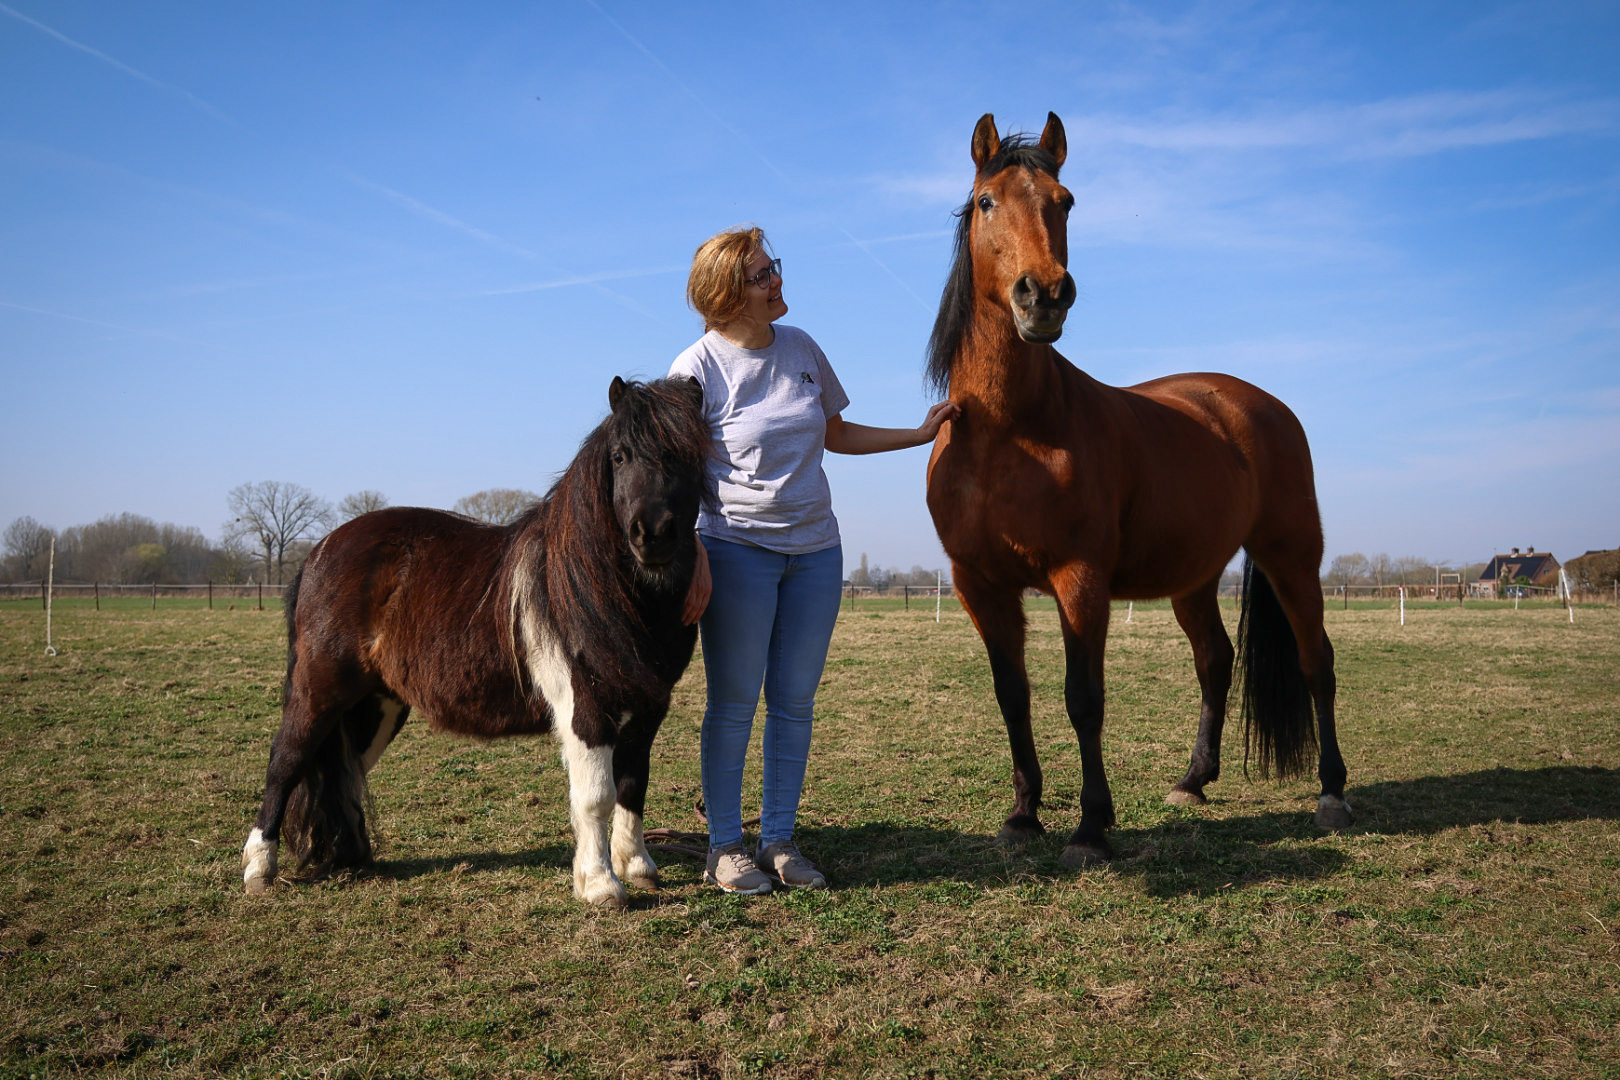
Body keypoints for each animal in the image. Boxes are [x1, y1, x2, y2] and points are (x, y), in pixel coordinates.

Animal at [241, 375, 711, 908]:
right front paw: (600, 883)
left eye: (687, 453)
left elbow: (634, 784)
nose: (653, 535)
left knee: (346, 771)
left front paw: (637, 866)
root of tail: (320, 551)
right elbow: (596, 796)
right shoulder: (588, 707)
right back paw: (259, 869)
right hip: (320, 691)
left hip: (377, 705)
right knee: (286, 762)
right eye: (619, 456)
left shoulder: (649, 705)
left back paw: (353, 856)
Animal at [925, 112, 1352, 868]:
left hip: (1292, 558)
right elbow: (1013, 696)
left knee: (1316, 663)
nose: (1044, 295)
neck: (1007, 431)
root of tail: (1256, 404)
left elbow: (1083, 698)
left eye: (1065, 201)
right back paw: (1193, 780)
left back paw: (1332, 792)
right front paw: (1023, 816)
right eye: (986, 202)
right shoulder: (979, 583)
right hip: (1194, 578)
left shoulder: (1080, 578)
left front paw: (1091, 828)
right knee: (1215, 662)